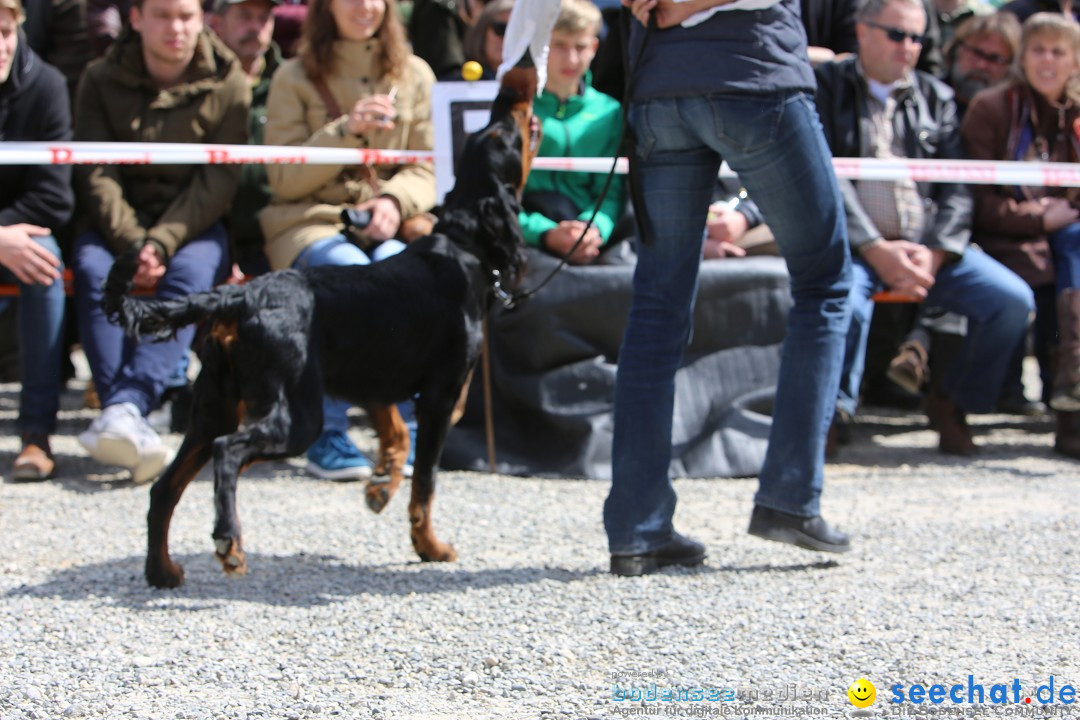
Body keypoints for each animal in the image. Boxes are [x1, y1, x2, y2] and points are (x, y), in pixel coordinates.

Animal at [105, 85, 535, 591]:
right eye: (504, 136)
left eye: (491, 131)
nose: (509, 97)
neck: (462, 247)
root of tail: (241, 294)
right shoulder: (441, 396)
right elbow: (425, 481)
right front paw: (430, 547)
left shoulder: (373, 383)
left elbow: (397, 437)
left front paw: (379, 487)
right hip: (295, 414)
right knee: (226, 451)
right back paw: (229, 543)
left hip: (214, 404)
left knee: (164, 488)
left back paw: (163, 571)